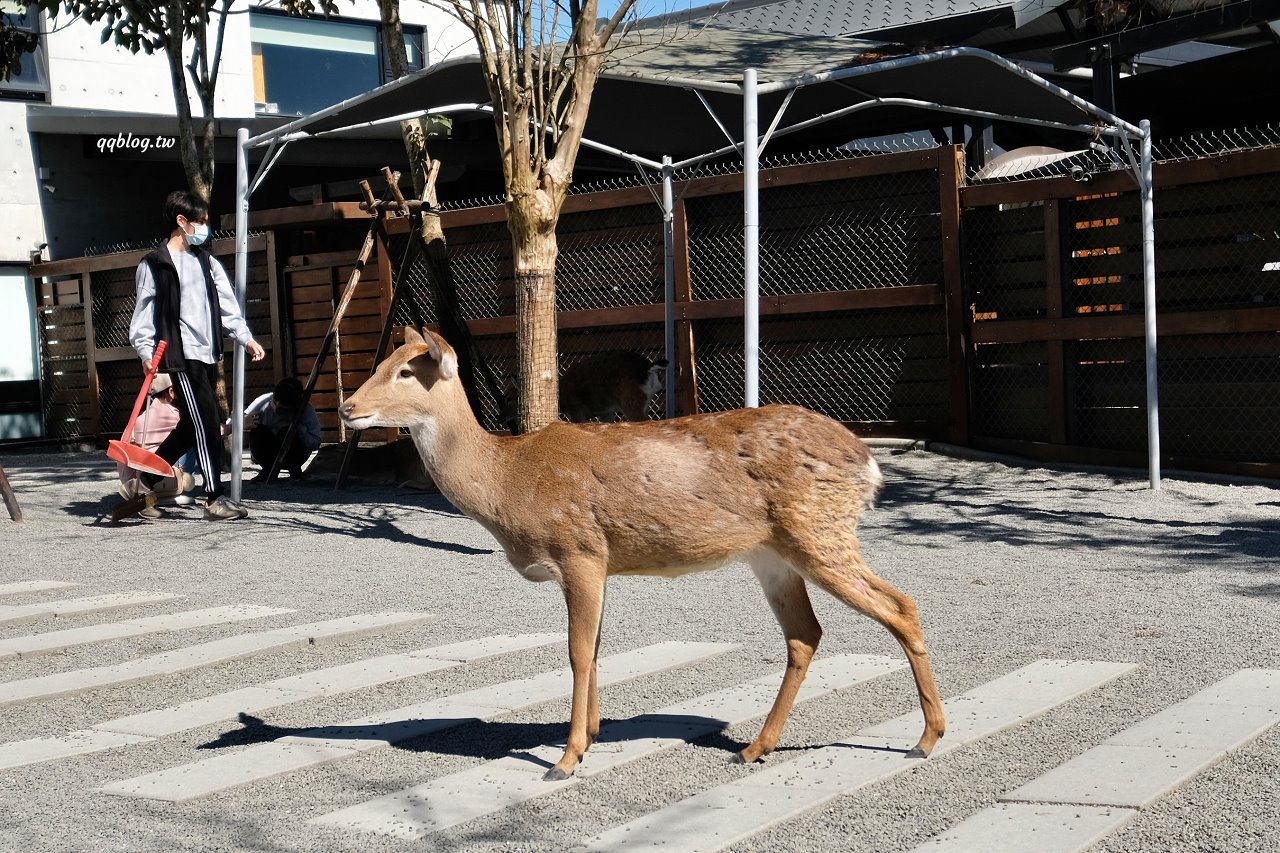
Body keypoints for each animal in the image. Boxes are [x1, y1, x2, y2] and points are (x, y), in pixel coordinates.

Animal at [340, 327, 946, 781]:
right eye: (381, 361)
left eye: (406, 371)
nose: (347, 407)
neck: (508, 482)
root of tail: (868, 462)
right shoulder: (600, 564)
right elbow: (597, 648)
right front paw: (592, 734)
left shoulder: (580, 549)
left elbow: (577, 651)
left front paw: (565, 759)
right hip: (774, 556)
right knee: (805, 633)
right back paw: (755, 747)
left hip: (820, 534)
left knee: (901, 606)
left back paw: (926, 738)